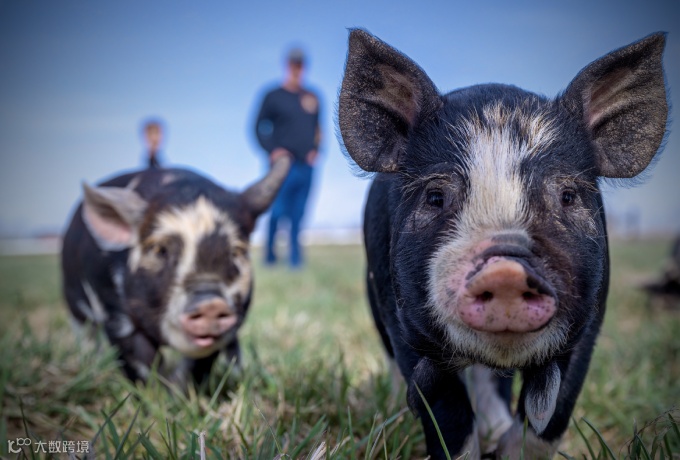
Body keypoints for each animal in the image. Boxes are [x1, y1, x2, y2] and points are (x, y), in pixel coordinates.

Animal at [61, 157, 290, 385]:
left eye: (237, 251)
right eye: (159, 250)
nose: (211, 304)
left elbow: (196, 366)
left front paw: (181, 391)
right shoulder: (114, 314)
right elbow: (140, 361)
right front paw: (155, 392)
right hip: (73, 302)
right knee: (86, 334)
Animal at [338, 29, 668, 458]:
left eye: (568, 196)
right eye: (435, 197)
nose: (506, 269)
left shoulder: (591, 320)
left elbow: (552, 417)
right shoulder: (402, 318)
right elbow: (449, 421)